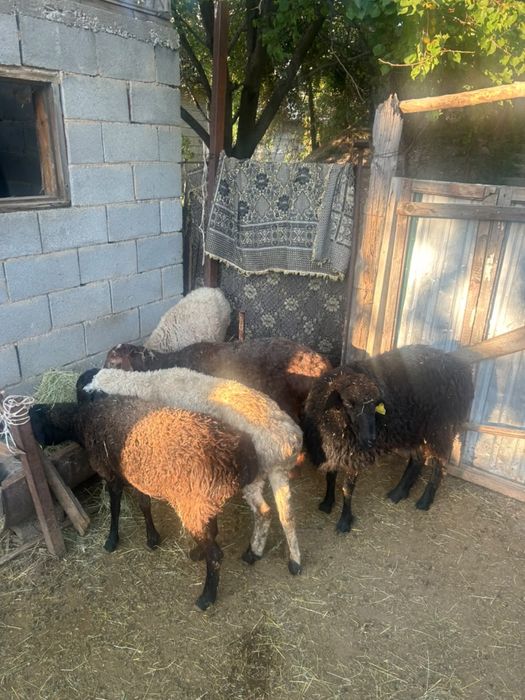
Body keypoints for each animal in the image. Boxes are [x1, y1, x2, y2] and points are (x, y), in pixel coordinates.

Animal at [29, 393, 259, 610]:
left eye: (33, 423)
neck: (82, 421)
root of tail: (240, 456)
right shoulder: (137, 477)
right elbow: (144, 505)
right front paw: (152, 538)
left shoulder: (111, 474)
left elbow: (115, 508)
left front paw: (111, 540)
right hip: (202, 502)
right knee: (212, 533)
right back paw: (197, 553)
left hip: (194, 503)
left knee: (216, 554)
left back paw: (206, 597)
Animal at [80, 366, 304, 574]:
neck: (141, 386)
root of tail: (288, 441)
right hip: (276, 472)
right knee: (288, 515)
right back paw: (294, 562)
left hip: (256, 475)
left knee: (264, 513)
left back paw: (253, 553)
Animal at [302, 344, 474, 533]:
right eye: (348, 404)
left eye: (374, 406)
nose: (371, 439)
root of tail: (459, 367)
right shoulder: (332, 448)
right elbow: (330, 476)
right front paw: (327, 504)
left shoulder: (354, 454)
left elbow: (347, 489)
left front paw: (344, 522)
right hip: (414, 429)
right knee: (418, 459)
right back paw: (399, 492)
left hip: (440, 428)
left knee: (440, 464)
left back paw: (424, 500)